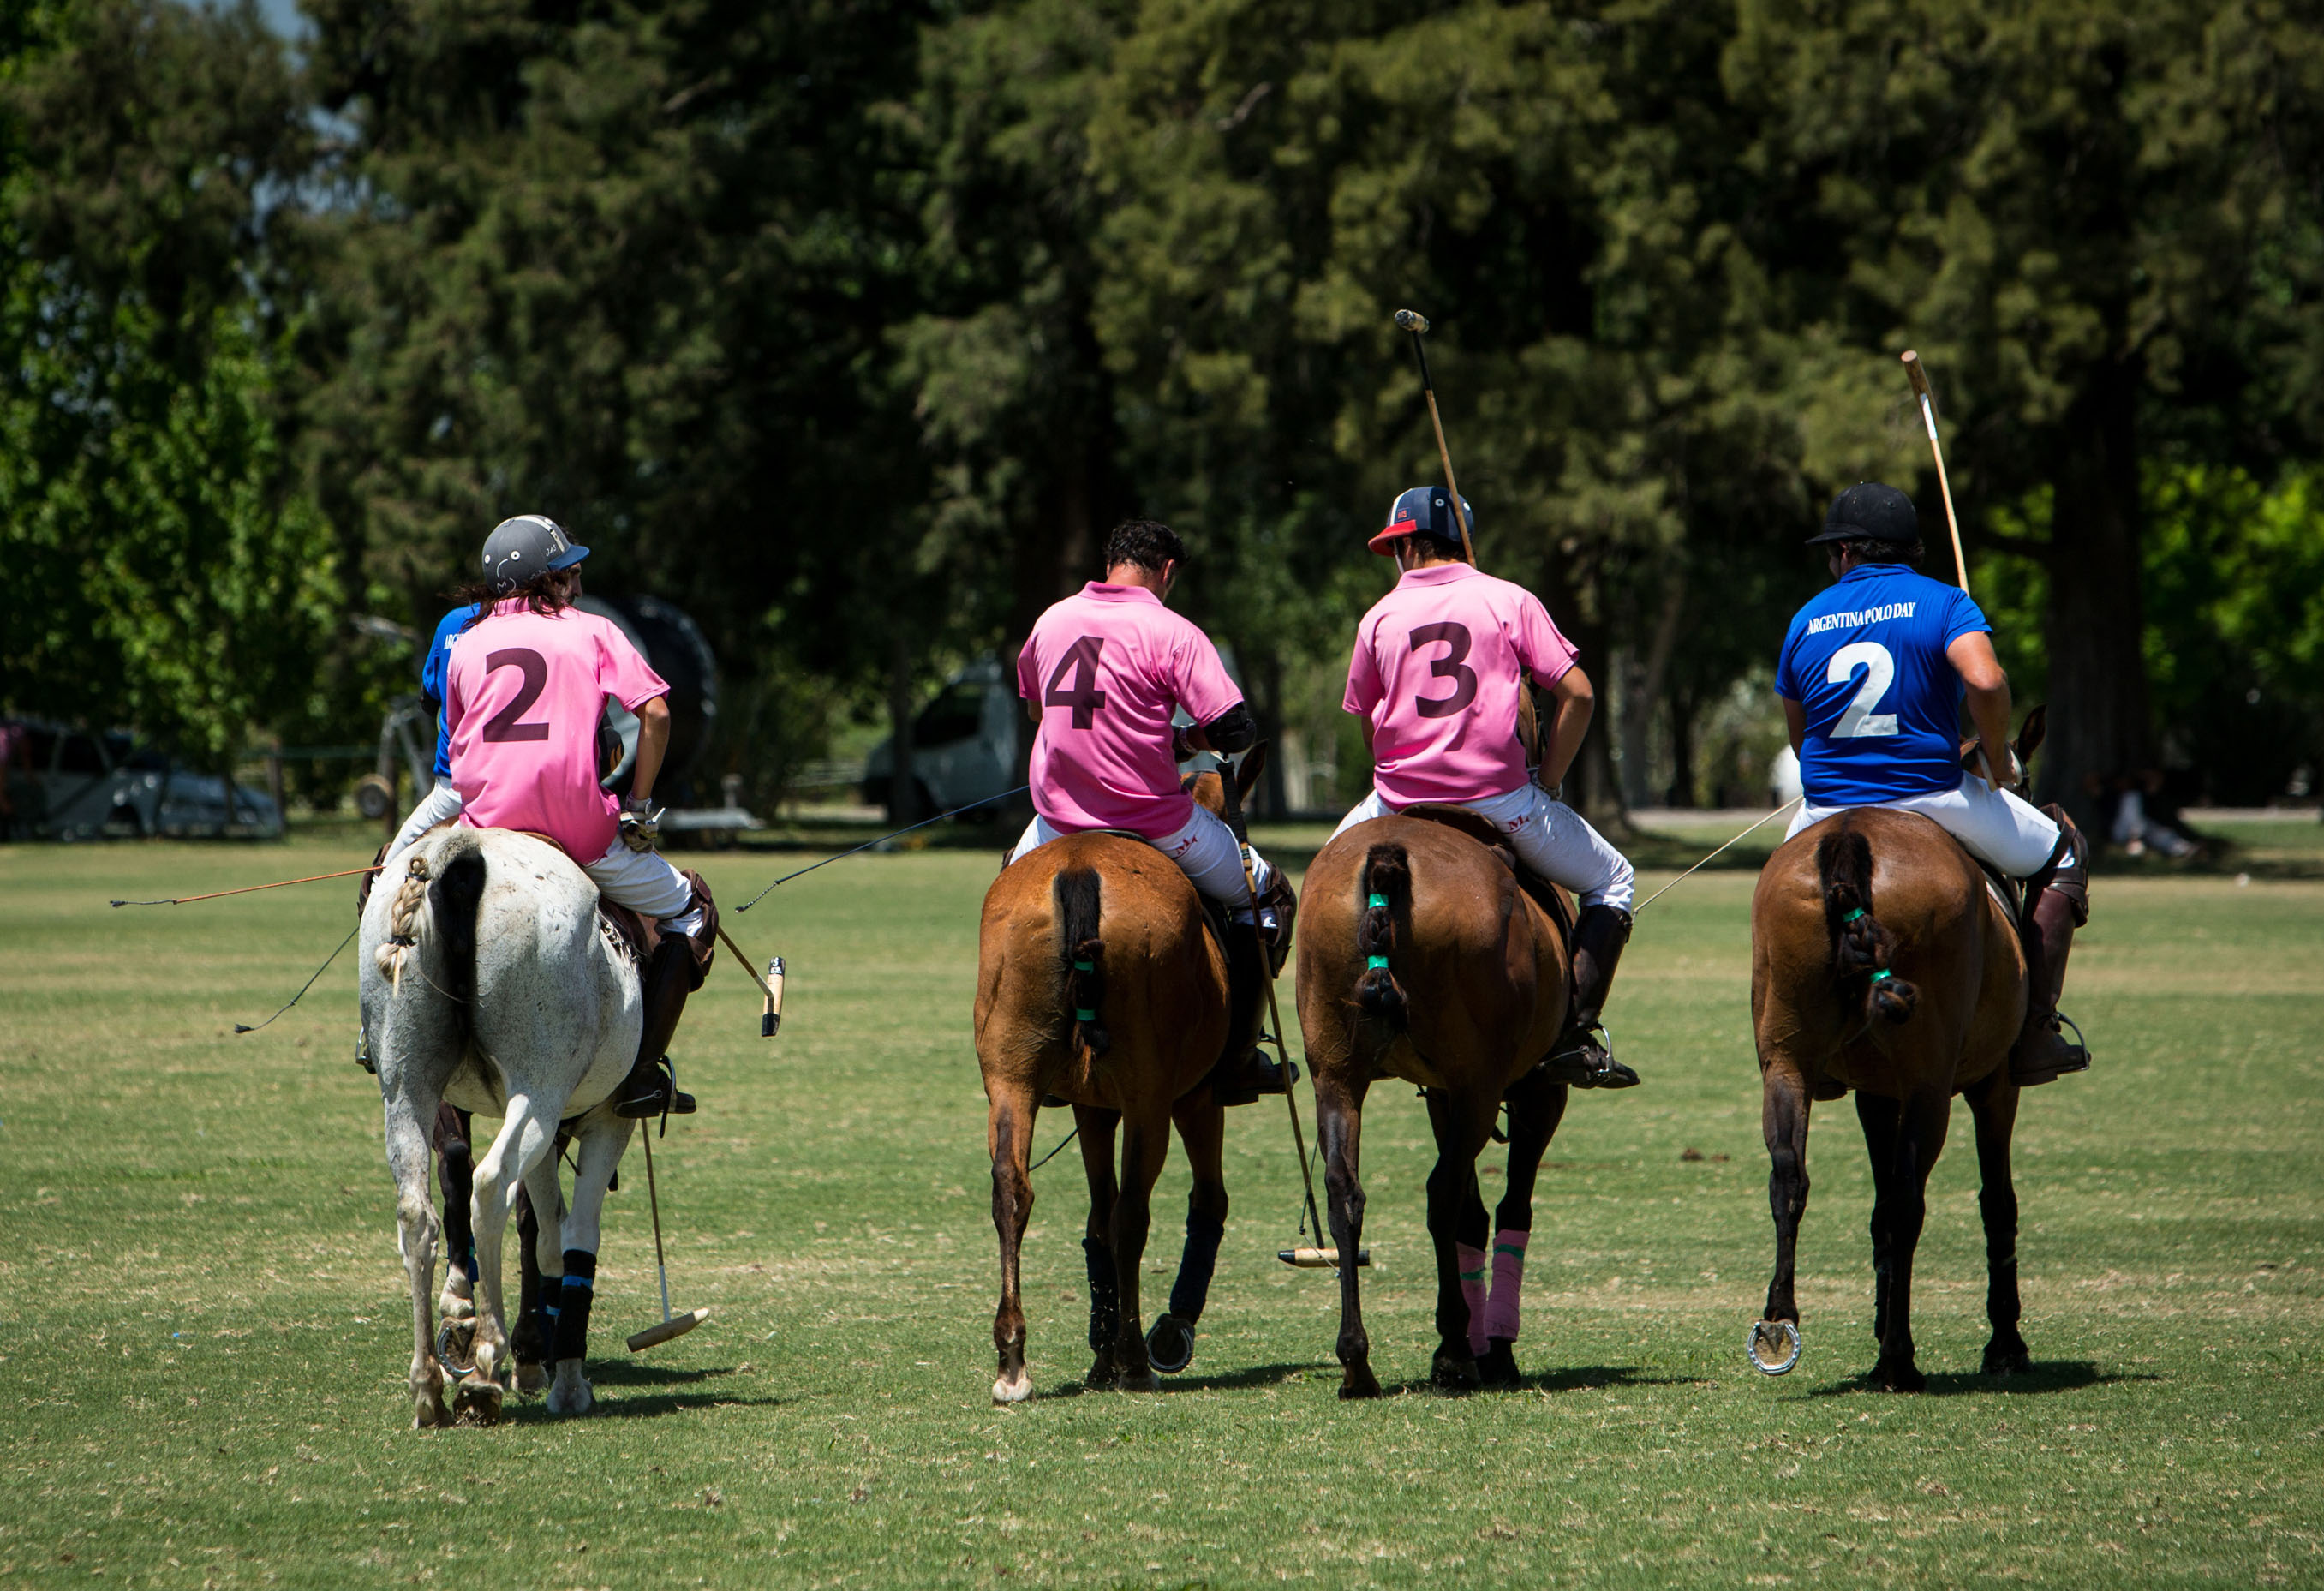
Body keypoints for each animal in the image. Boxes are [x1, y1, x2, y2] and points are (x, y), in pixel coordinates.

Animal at [966, 763, 1282, 1395]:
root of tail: (1079, 869)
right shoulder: (1194, 1099)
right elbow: (1204, 1199)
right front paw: (1162, 1333)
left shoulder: (1091, 1105)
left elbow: (1095, 1214)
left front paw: (1099, 1351)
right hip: (1149, 1098)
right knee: (1134, 1213)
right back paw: (1136, 1358)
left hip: (1011, 1079)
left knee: (1013, 1190)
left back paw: (1013, 1360)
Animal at [1301, 809, 1589, 1395]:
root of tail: (1388, 858)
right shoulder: (1537, 1092)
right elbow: (1509, 1207)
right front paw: (1495, 1349)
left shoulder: (1441, 1091)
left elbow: (1474, 1215)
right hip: (1481, 1084)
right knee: (1443, 1193)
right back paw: (1455, 1346)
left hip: (1335, 1074)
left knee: (1346, 1192)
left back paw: (1356, 1363)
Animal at [1747, 716, 2072, 1386]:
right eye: (2022, 780)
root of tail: (1849, 835)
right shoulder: (1993, 1085)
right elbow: (1996, 1202)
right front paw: (2006, 1342)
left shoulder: (1876, 1092)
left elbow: (1874, 1210)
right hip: (1930, 1083)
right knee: (1908, 1202)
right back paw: (1898, 1358)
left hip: (1786, 1060)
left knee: (1789, 1176)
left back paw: (1780, 1321)